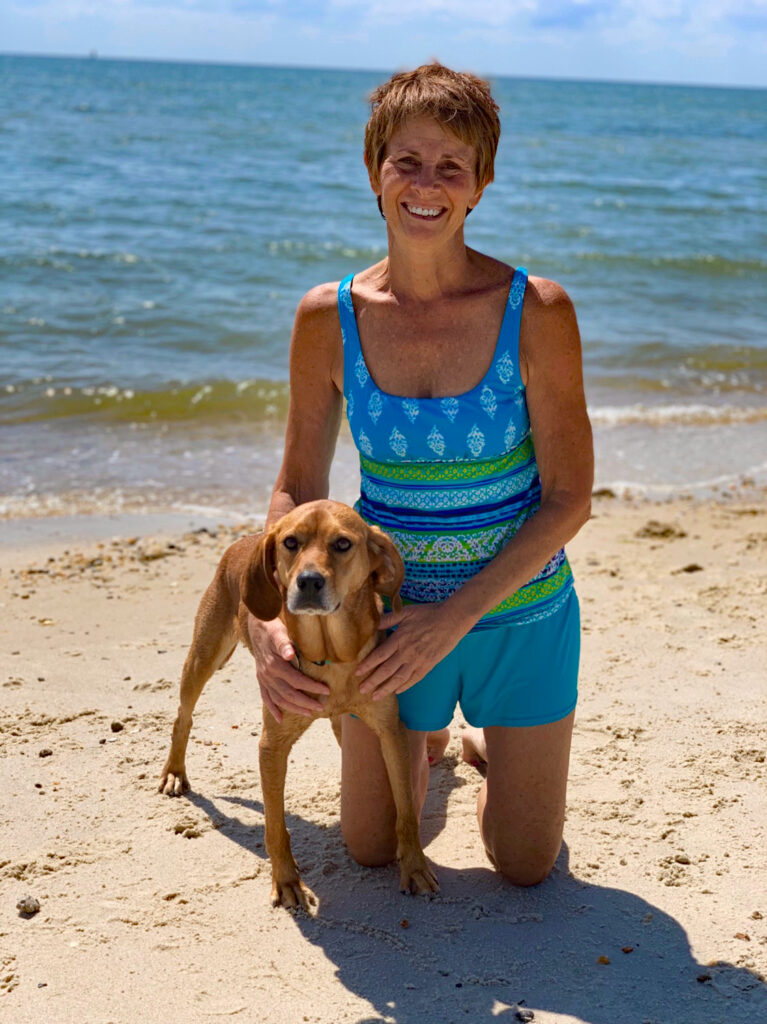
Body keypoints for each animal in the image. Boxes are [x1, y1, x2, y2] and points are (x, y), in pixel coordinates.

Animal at [156, 499, 436, 909]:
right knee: (183, 716)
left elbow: (406, 811)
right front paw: (287, 881)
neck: (330, 653)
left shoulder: (391, 731)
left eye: (342, 543)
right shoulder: (272, 747)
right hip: (204, 656)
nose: (308, 581)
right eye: (291, 542)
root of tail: (246, 539)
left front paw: (414, 865)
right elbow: (276, 826)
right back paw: (175, 771)